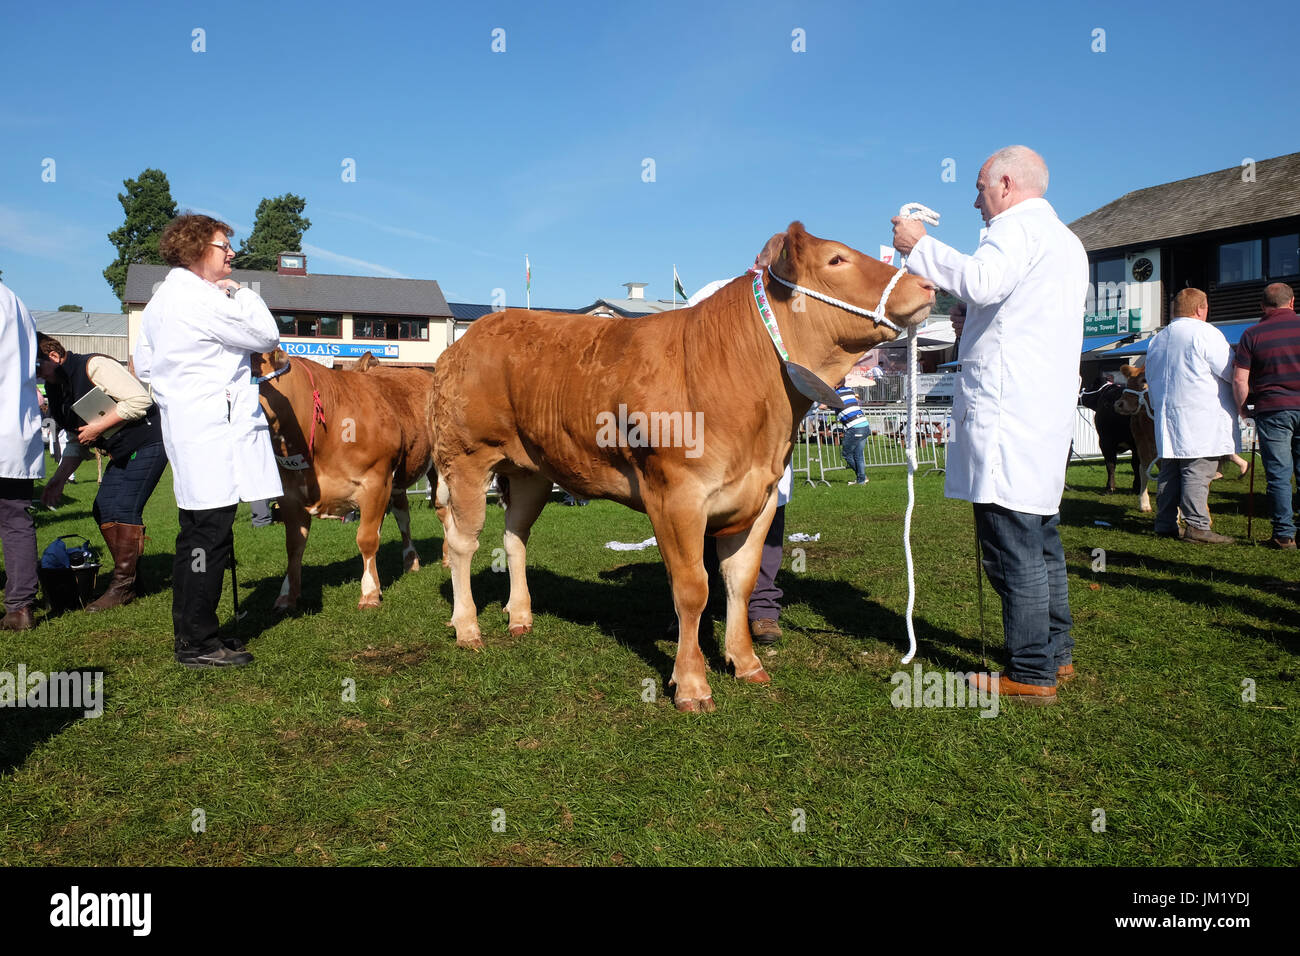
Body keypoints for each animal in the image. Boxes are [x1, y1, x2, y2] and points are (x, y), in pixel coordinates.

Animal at [252, 349, 439, 610]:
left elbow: (367, 539)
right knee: (403, 516)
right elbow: (294, 545)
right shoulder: (290, 493)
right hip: (398, 482)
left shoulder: (375, 482)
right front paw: (288, 594)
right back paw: (410, 561)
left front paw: (370, 593)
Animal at [431, 222, 936, 711]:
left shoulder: (760, 496)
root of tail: (469, 337)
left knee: (514, 536)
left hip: (530, 470)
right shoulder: (676, 496)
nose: (926, 284)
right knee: (461, 543)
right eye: (836, 259)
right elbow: (693, 588)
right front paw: (692, 684)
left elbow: (740, 582)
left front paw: (746, 662)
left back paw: (520, 615)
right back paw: (467, 627)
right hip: (466, 458)